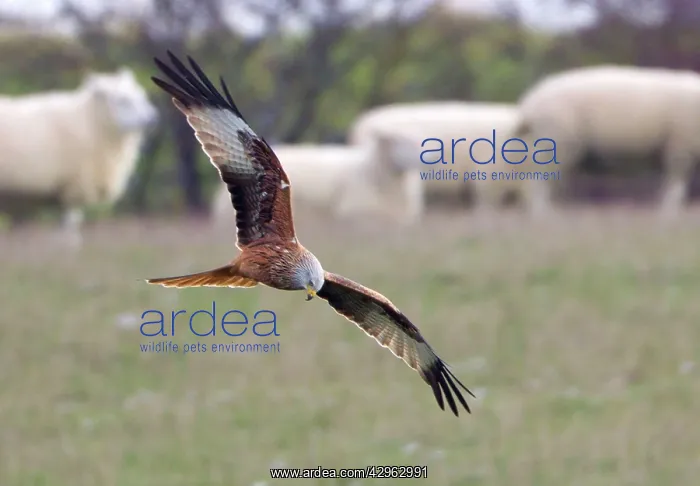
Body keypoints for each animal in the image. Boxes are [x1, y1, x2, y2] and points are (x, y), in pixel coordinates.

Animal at [0, 67, 159, 246]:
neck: (90, 121)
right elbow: (70, 226)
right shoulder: (74, 187)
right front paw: (69, 244)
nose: (153, 118)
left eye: (142, 96)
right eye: (122, 101)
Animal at [513, 65, 700, 218]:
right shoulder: (680, 147)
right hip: (555, 143)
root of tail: (528, 104)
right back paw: (546, 218)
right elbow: (676, 185)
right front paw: (669, 215)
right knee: (538, 183)